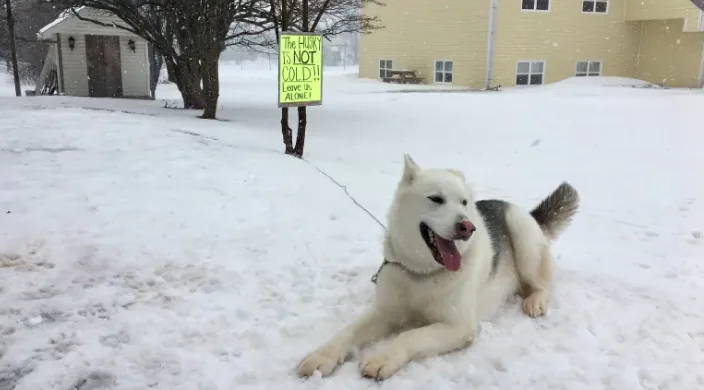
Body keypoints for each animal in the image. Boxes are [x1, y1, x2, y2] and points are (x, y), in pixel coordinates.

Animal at [296, 154, 576, 380]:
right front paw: (322, 356)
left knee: (542, 284)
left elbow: (409, 335)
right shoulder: (384, 312)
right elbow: (347, 332)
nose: (467, 227)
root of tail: (522, 210)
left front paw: (383, 358)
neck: (422, 273)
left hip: (522, 235)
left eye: (463, 202)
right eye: (436, 199)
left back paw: (535, 300)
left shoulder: (459, 327)